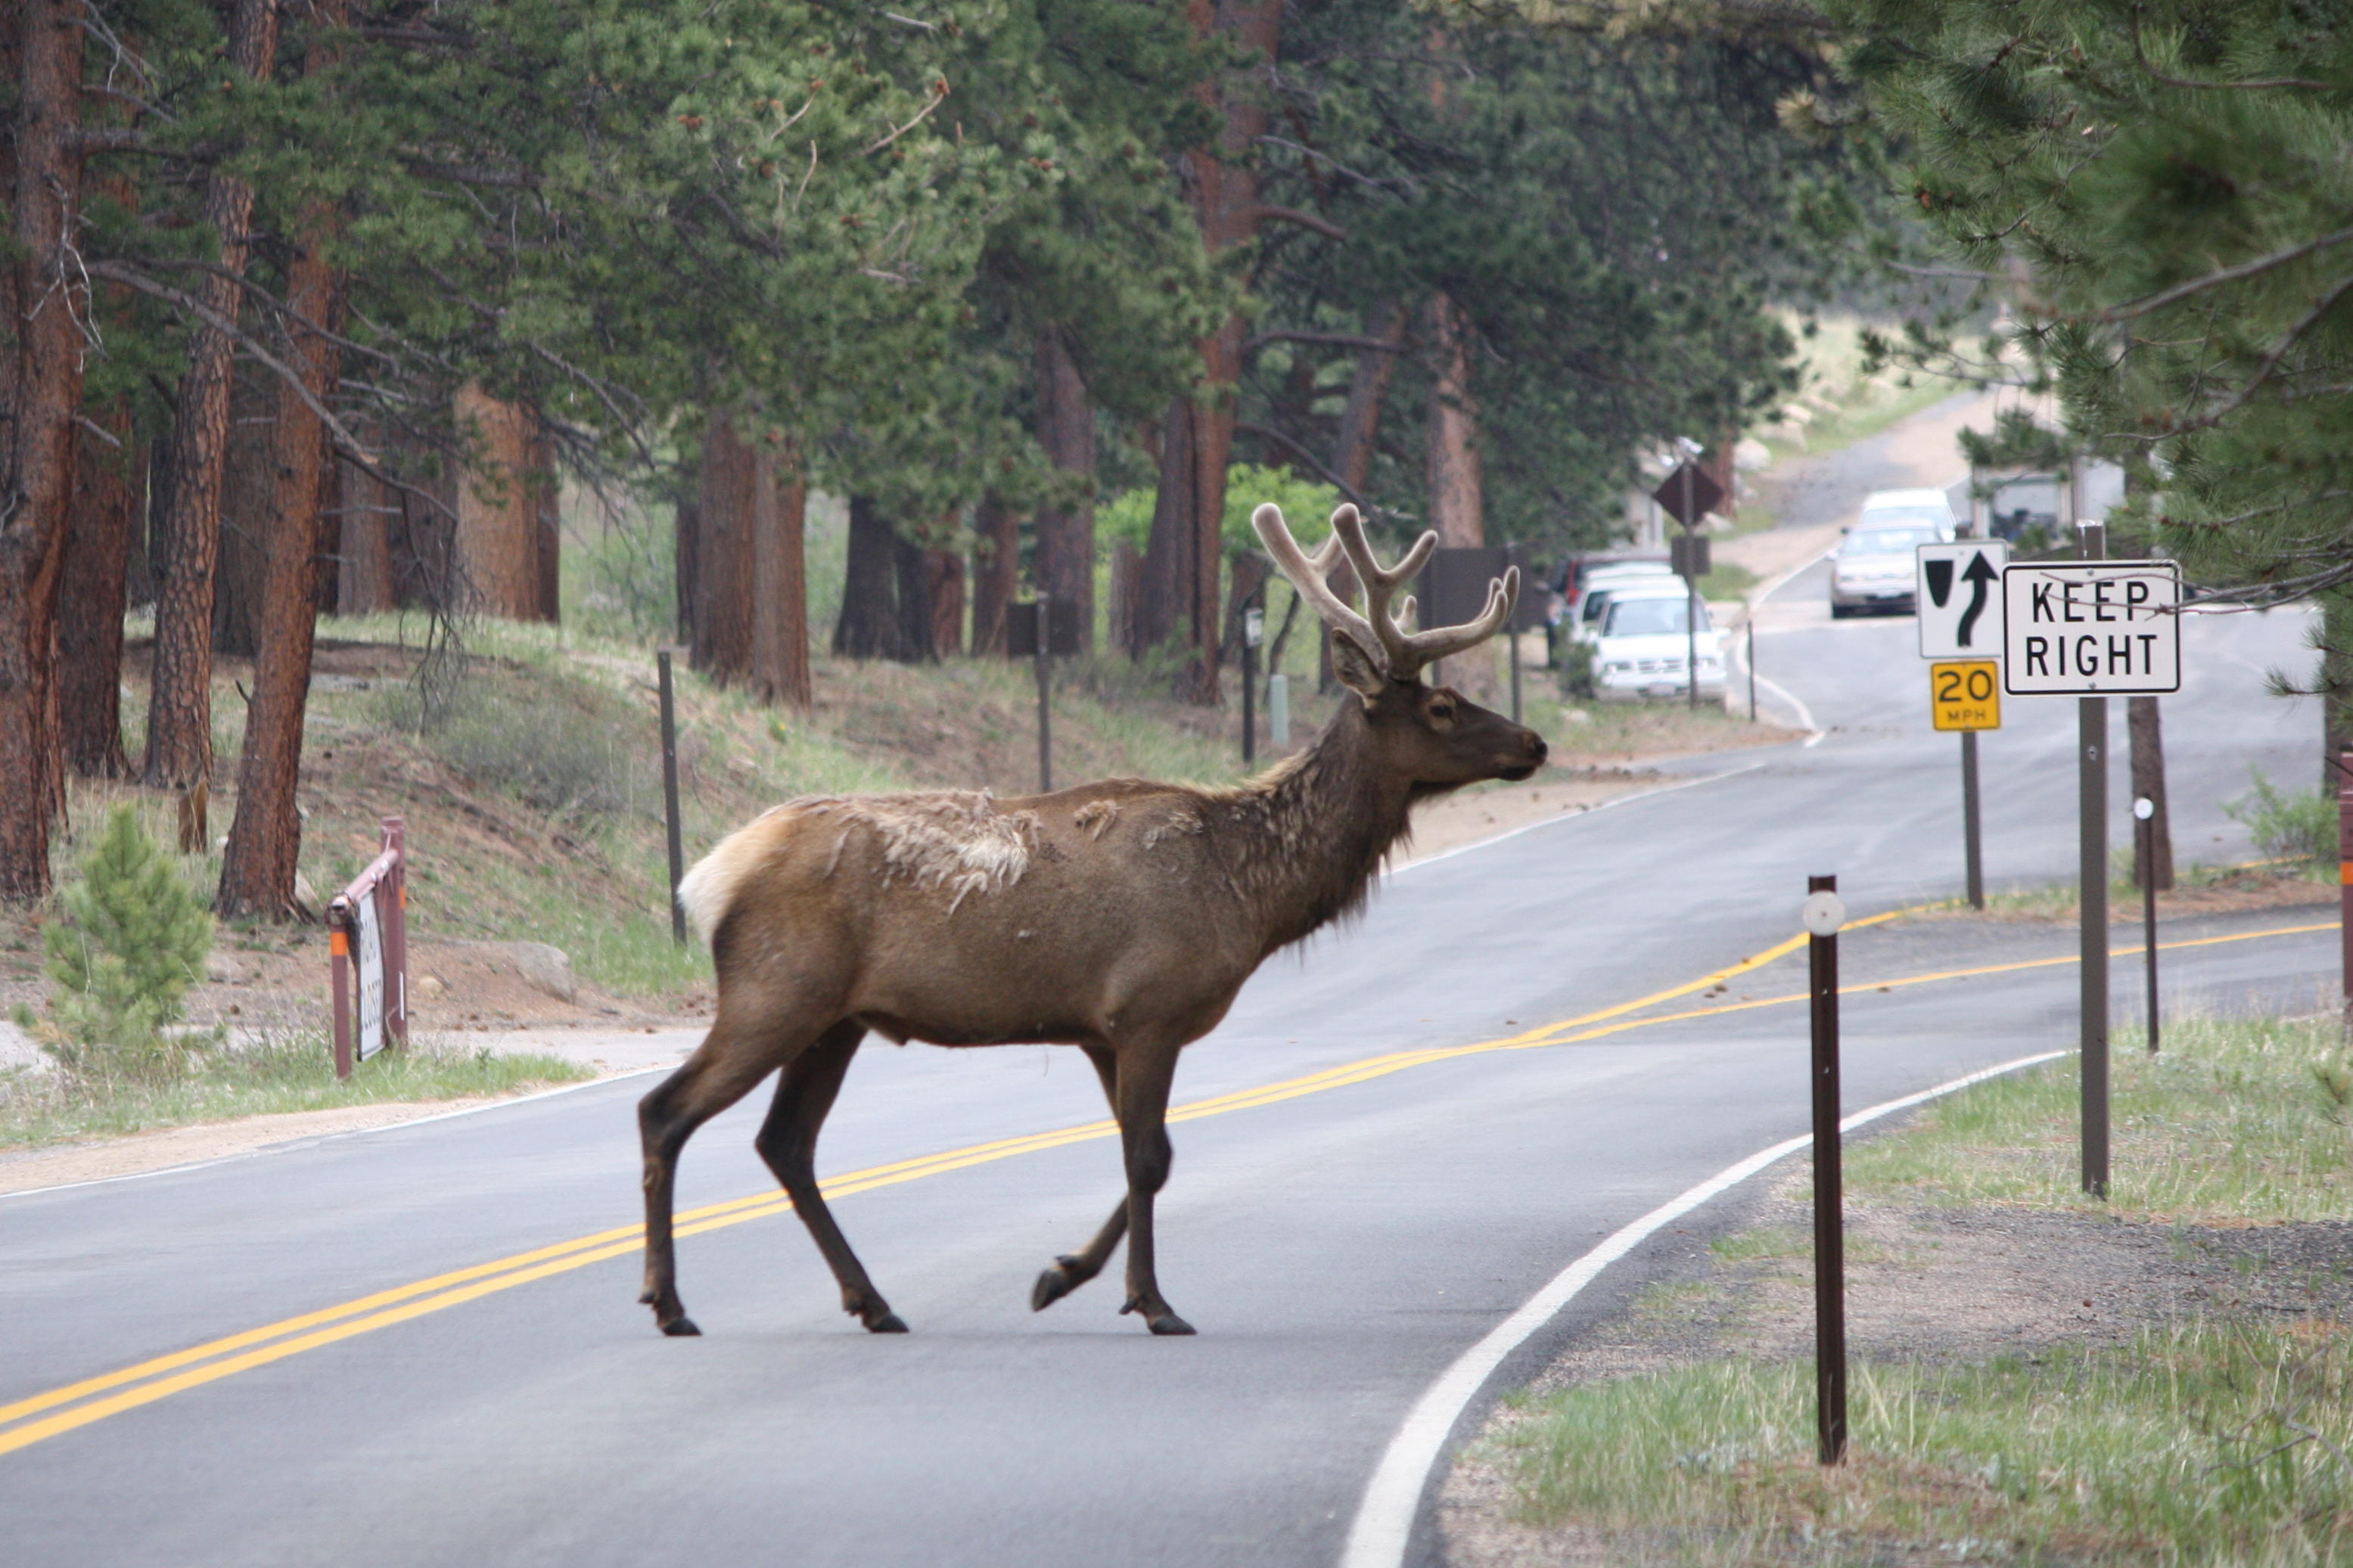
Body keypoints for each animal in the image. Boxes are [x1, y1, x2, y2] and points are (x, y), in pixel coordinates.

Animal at [637, 502, 1545, 1338]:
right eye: (1441, 707)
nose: (1533, 742)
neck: (1249, 895)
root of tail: (708, 877)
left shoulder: (1101, 1029)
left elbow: (1145, 1155)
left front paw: (1061, 1274)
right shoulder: (1149, 1010)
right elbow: (1148, 1158)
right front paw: (1152, 1302)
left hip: (837, 1019)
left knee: (784, 1142)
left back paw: (872, 1301)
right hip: (775, 989)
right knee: (666, 1110)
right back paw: (670, 1303)